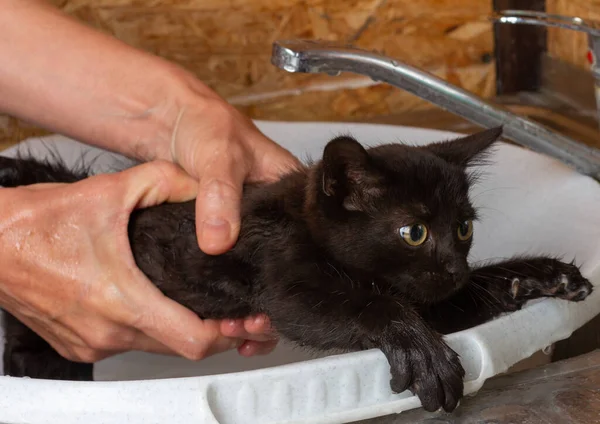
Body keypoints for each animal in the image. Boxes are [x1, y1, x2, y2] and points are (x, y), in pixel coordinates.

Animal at [0, 126, 592, 410]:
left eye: (465, 228)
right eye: (414, 232)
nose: (452, 268)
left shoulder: (436, 296)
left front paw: (541, 273)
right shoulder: (282, 281)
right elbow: (369, 303)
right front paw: (421, 349)